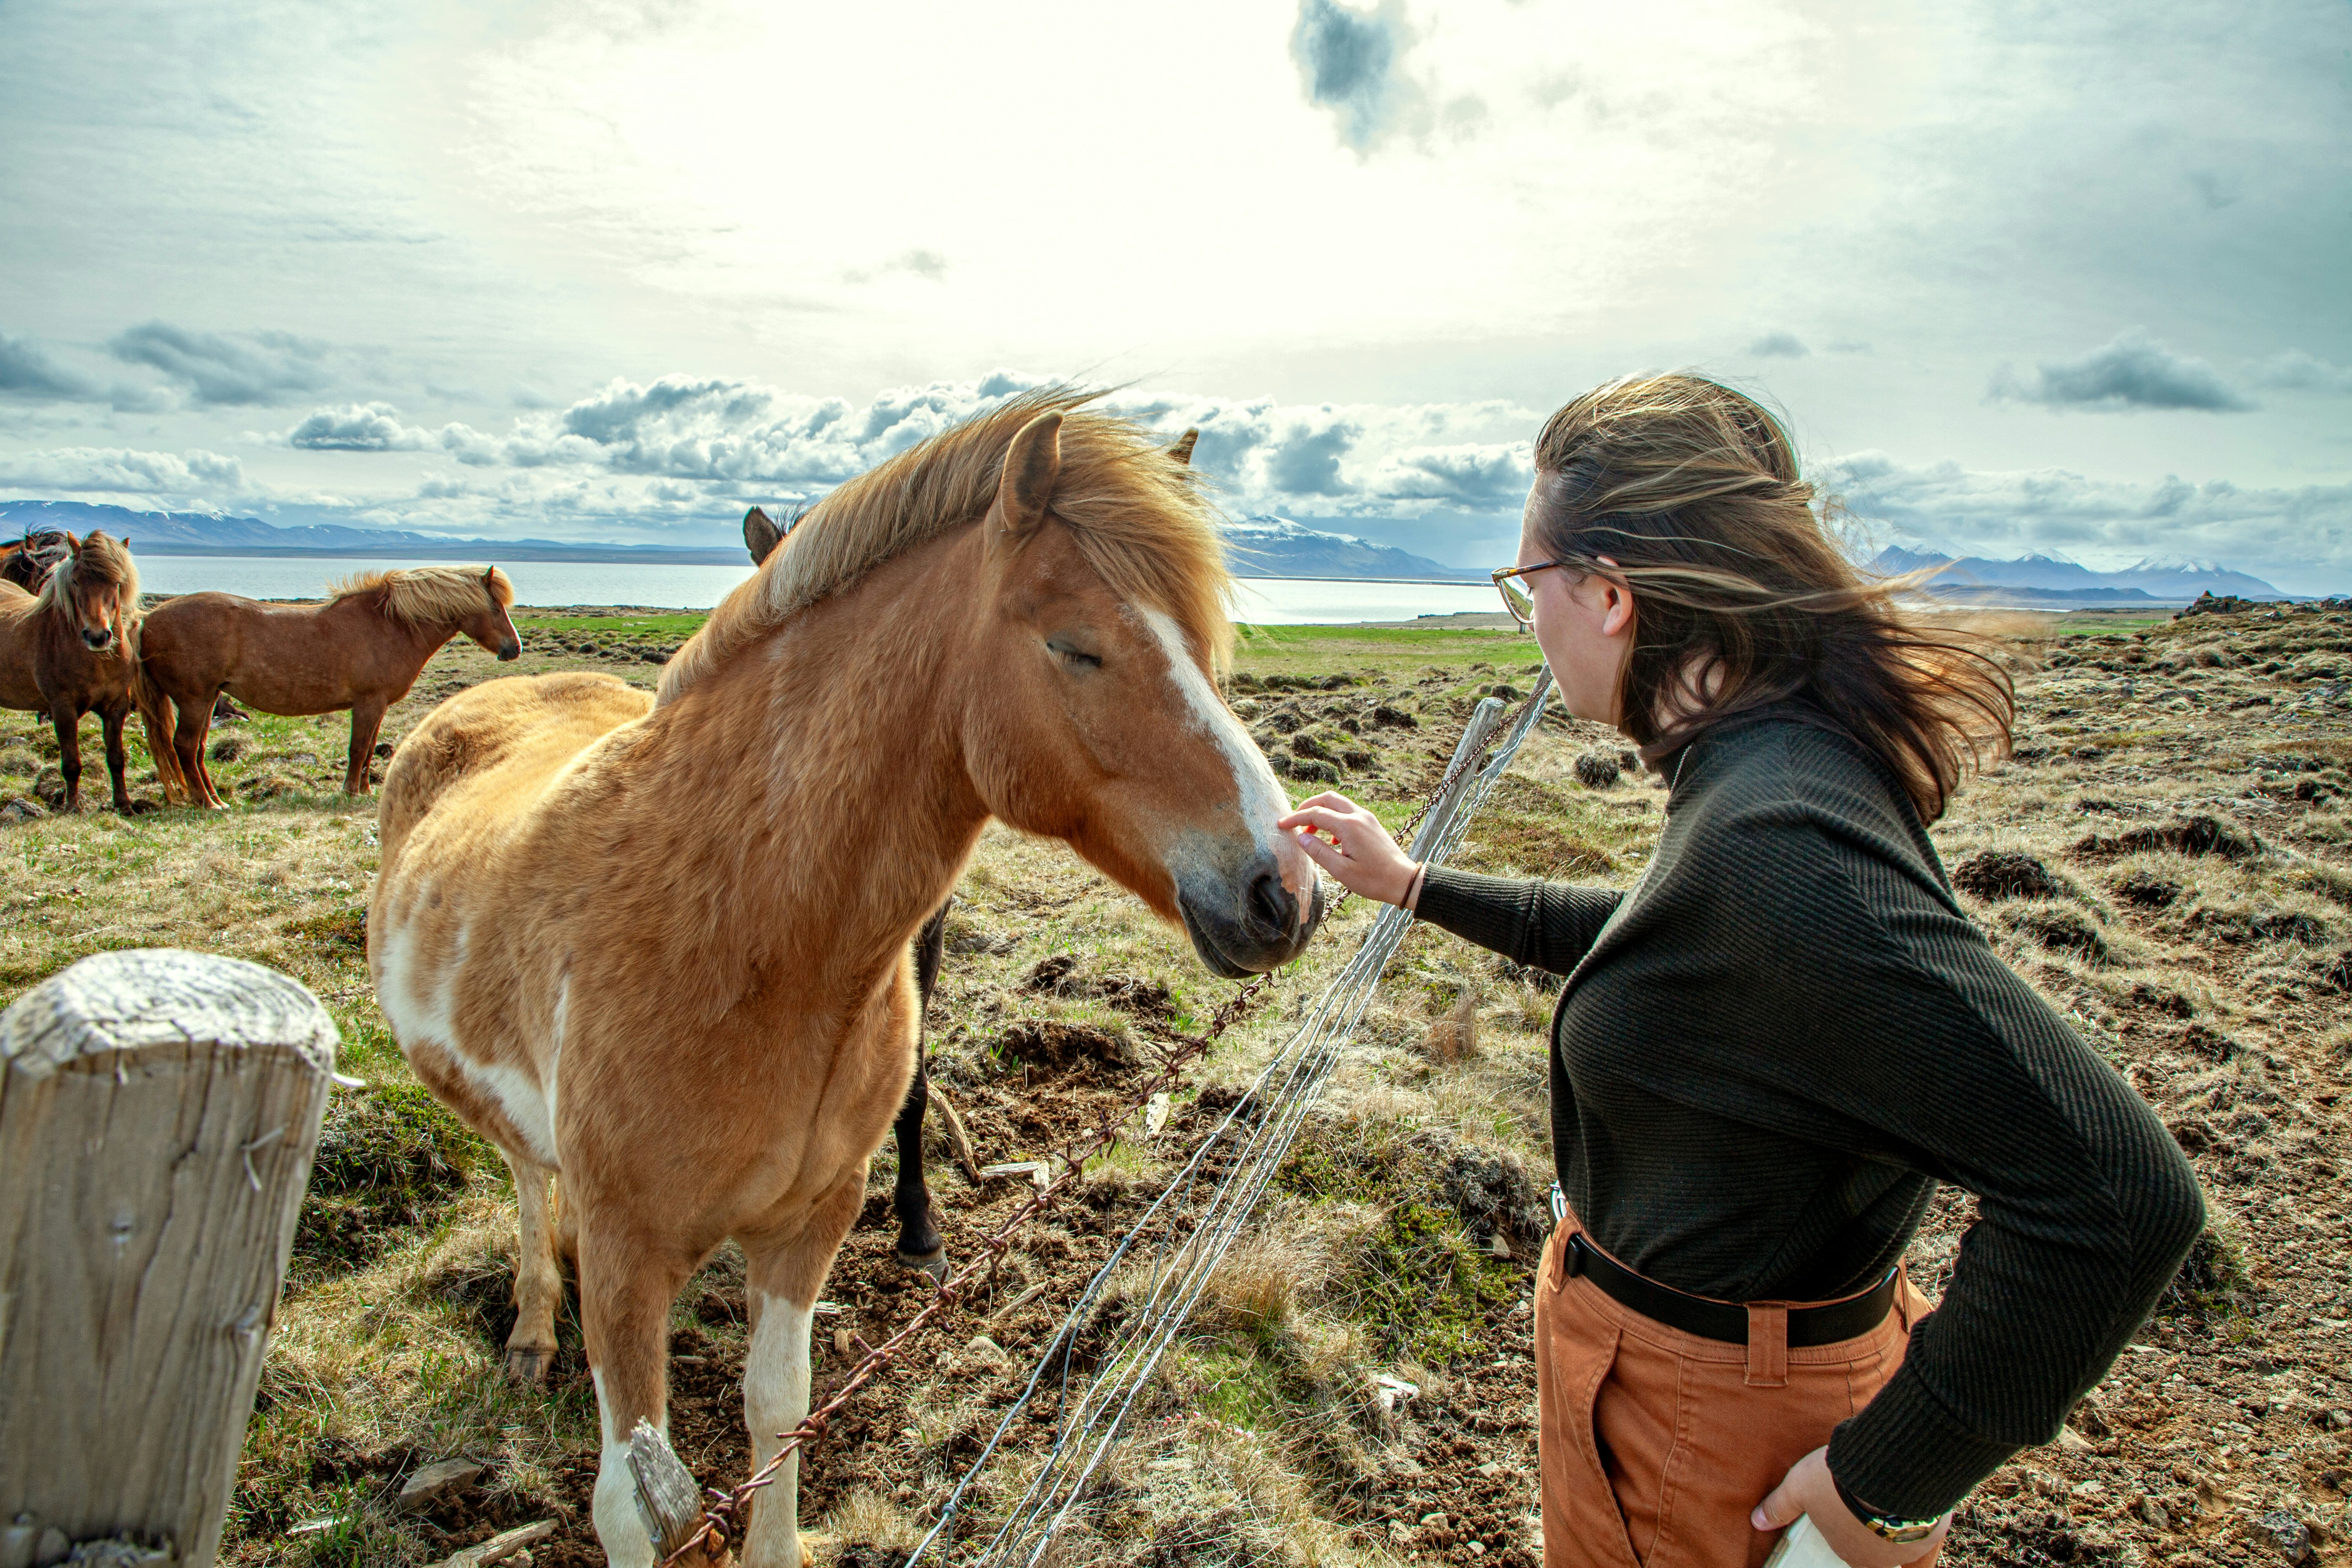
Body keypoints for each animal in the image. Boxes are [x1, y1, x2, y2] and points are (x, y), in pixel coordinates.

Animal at [0, 534, 148, 818]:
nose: (98, 636)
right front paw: (72, 807)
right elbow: (71, 763)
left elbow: (117, 759)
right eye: (77, 581)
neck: (96, 662)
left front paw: (124, 805)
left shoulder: (117, 707)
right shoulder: (63, 709)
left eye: (117, 582)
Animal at [141, 566, 524, 808]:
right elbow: (359, 749)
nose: (514, 648)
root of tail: (147, 620)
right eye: (495, 606)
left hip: (209, 700)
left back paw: (215, 798)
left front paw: (365, 789)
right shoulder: (369, 702)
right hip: (195, 700)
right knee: (185, 746)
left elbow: (368, 750)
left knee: (198, 749)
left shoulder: (378, 706)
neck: (391, 625)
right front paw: (351, 791)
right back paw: (207, 803)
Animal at [369, 395, 1326, 1568]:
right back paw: (532, 1324)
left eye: (1201, 642)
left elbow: (779, 1406)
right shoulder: (628, 1254)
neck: (745, 938)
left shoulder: (811, 1218)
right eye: (1076, 647)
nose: (1286, 890)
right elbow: (632, 1501)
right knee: (522, 1171)